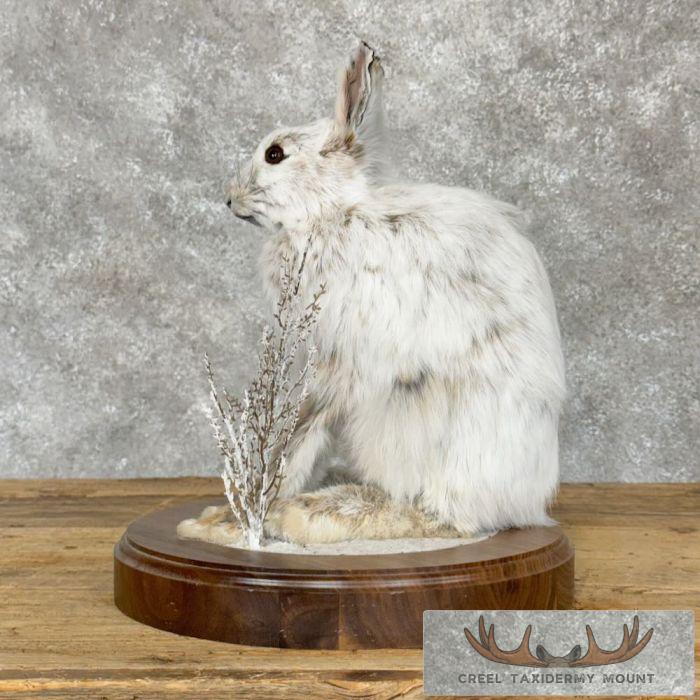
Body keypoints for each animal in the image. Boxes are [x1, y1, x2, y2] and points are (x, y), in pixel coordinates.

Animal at [178, 41, 566, 548]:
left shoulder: (346, 358)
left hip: (420, 428)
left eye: (275, 154)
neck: (331, 213)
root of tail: (528, 502)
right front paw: (230, 514)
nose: (229, 199)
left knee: (442, 516)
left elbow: (306, 426)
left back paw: (317, 512)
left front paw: (262, 498)